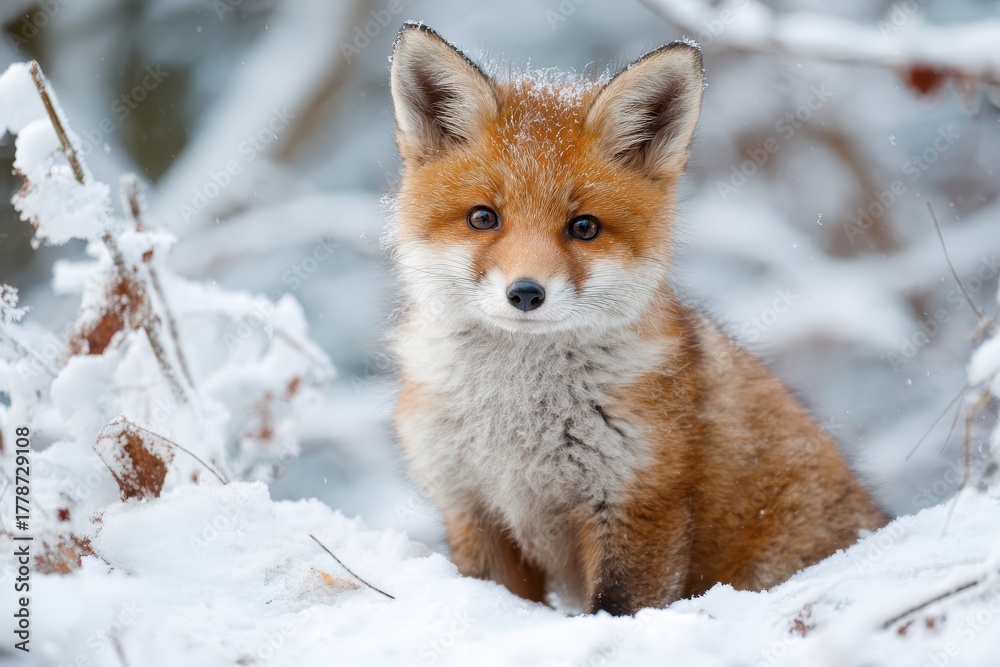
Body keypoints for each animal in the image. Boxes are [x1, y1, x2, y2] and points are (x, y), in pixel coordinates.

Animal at [387, 22, 888, 616]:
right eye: (483, 218)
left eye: (584, 227)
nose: (526, 293)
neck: (516, 424)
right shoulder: (473, 509)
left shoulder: (639, 502)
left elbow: (619, 607)